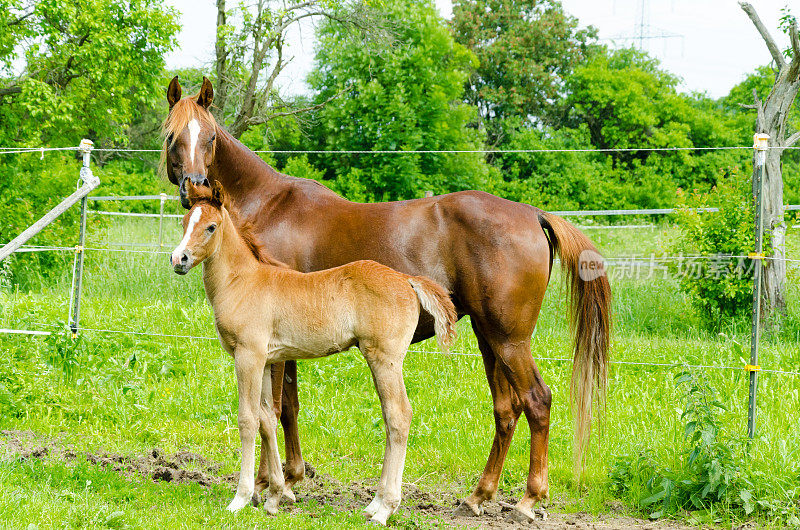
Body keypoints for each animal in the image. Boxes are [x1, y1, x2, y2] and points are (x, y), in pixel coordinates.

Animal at [169, 182, 456, 524]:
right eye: (184, 222)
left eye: (211, 226)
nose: (179, 259)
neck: (242, 282)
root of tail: (406, 279)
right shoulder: (267, 360)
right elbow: (267, 418)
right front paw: (275, 496)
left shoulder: (248, 356)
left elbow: (248, 420)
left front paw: (241, 498)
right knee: (390, 419)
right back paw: (373, 504)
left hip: (384, 358)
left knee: (399, 416)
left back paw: (384, 509)